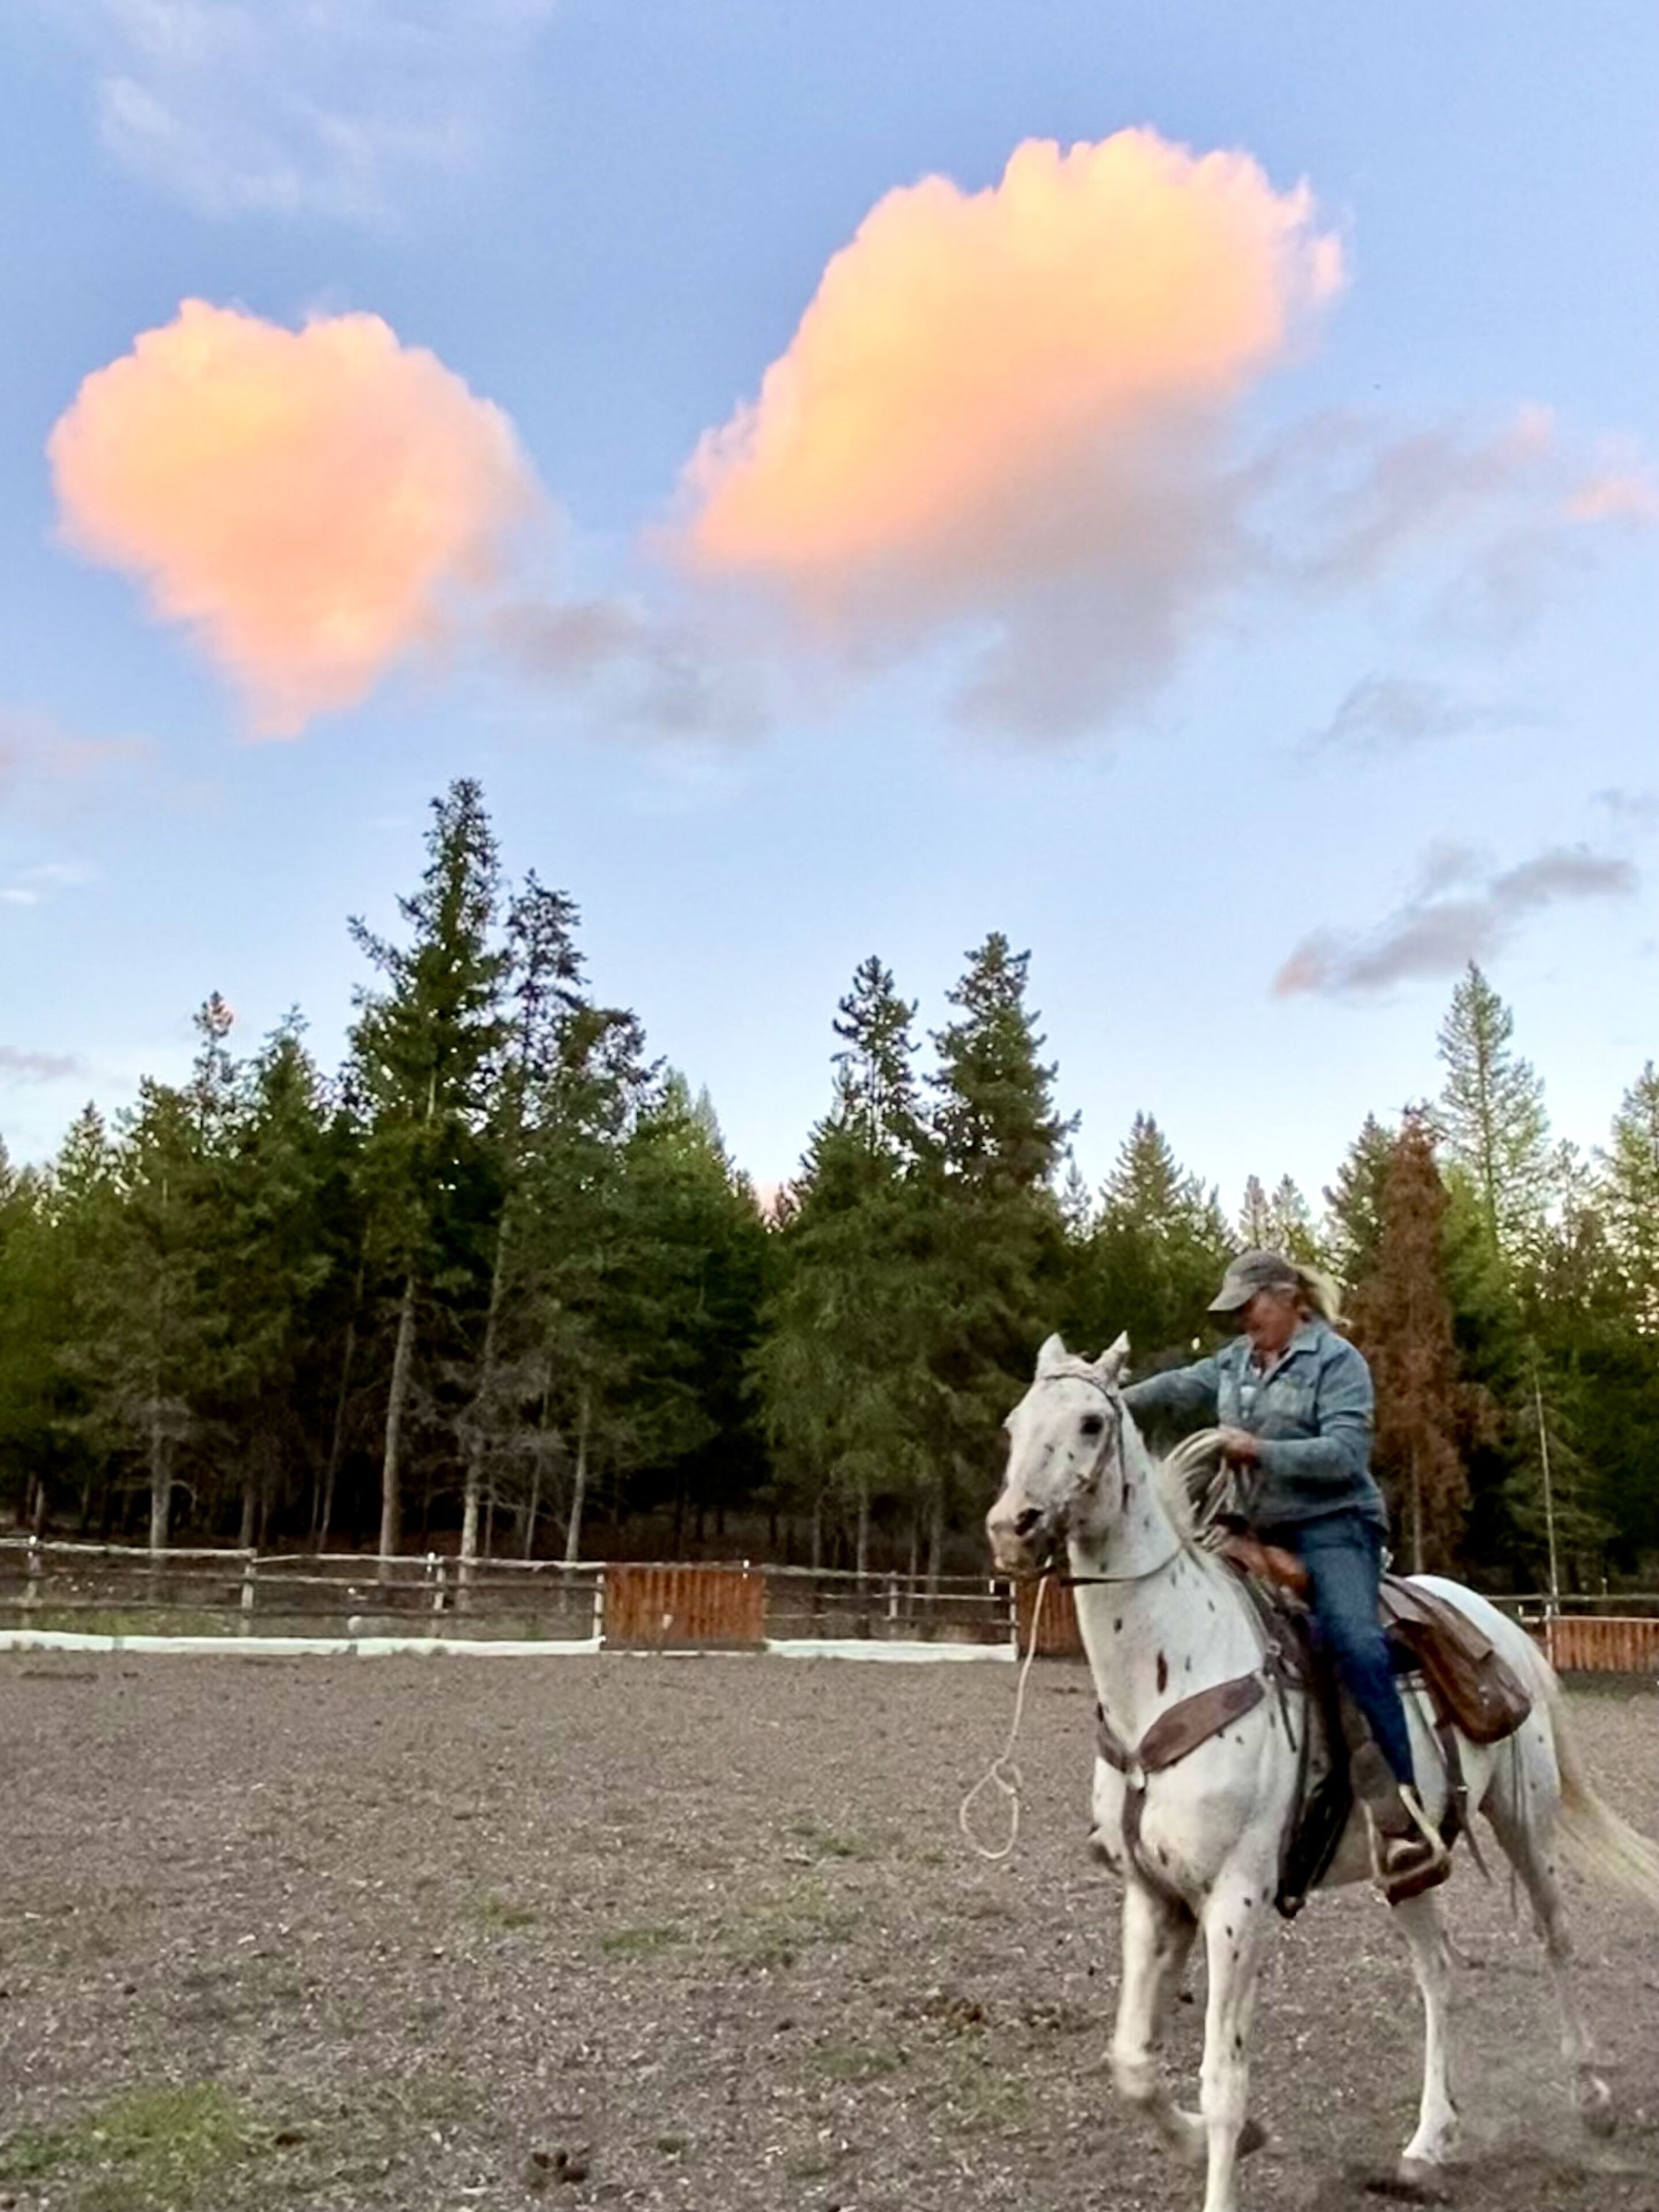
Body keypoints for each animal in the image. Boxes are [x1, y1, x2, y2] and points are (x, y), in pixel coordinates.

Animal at [984, 1332, 1659, 2212]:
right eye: (1014, 1424)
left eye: (1093, 1423)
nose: (1012, 1527)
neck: (1175, 1665)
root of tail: (1502, 1627)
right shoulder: (1153, 1892)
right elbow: (1133, 2064)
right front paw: (1228, 2139)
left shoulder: (1237, 1898)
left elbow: (1223, 2079)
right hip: (1409, 1862)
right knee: (1439, 1974)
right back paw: (1429, 2140)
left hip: (1525, 1819)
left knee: (1556, 1937)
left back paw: (1591, 2098)